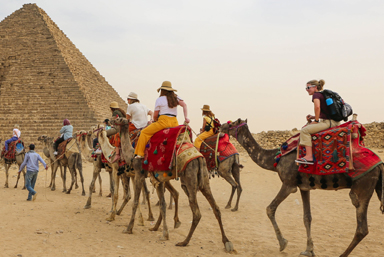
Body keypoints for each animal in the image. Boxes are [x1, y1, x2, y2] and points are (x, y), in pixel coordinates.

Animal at [114, 118, 236, 252]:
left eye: (117, 119)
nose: (109, 123)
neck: (132, 155)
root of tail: (199, 158)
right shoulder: (158, 179)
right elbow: (162, 204)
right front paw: (160, 230)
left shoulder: (139, 173)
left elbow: (136, 201)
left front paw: (128, 229)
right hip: (204, 179)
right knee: (216, 208)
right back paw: (226, 242)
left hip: (189, 178)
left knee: (196, 212)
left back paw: (184, 242)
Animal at [220, 118, 382, 256]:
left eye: (232, 123)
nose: (221, 126)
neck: (275, 159)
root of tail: (380, 165)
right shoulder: (305, 187)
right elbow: (307, 217)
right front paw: (309, 250)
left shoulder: (288, 184)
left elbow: (270, 209)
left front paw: (283, 243)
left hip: (362, 187)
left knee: (361, 228)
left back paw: (342, 254)